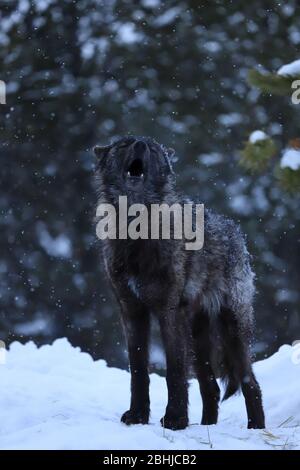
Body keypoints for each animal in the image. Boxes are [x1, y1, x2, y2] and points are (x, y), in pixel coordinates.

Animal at [94, 136, 264, 430]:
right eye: (124, 143)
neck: (137, 230)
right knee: (211, 387)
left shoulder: (168, 312)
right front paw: (137, 416)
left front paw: (175, 419)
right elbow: (138, 369)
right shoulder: (131, 311)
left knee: (250, 382)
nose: (140, 144)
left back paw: (257, 429)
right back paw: (207, 426)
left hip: (231, 329)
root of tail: (235, 232)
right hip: (198, 337)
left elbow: (174, 371)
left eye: (151, 147)